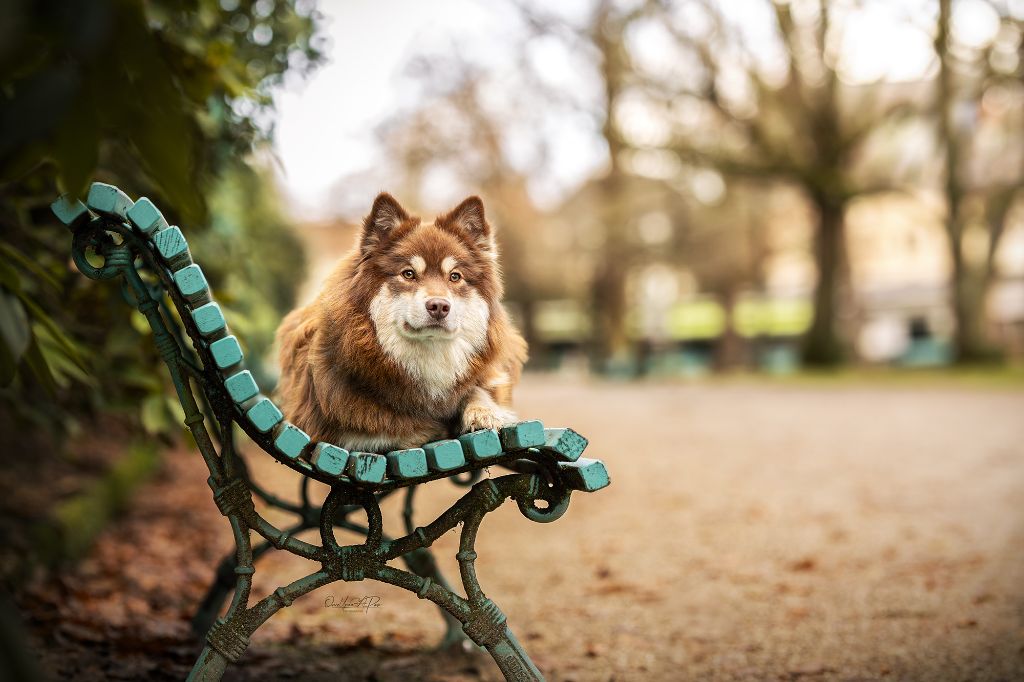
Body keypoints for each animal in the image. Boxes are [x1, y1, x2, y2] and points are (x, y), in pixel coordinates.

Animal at [272, 192, 528, 450]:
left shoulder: (488, 374)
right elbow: (391, 428)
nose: (439, 306)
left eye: (455, 276)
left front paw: (483, 412)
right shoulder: (328, 423)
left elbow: (478, 389)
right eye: (408, 274)